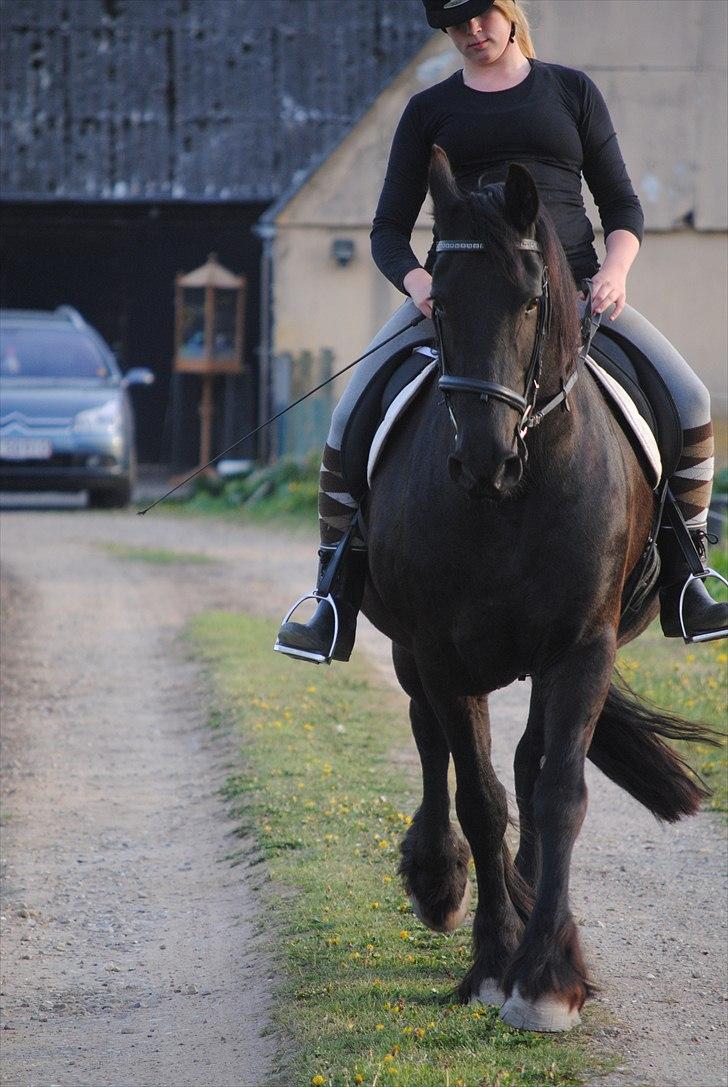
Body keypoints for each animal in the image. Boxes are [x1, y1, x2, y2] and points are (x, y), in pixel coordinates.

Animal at [362, 148, 717, 1030]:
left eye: (530, 299)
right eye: (439, 299)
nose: (483, 458)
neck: (515, 498)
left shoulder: (580, 647)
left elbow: (557, 790)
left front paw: (547, 974)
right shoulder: (440, 651)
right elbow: (480, 794)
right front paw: (496, 960)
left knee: (527, 761)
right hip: (414, 650)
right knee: (434, 742)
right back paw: (440, 878)